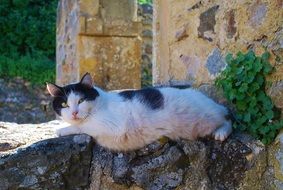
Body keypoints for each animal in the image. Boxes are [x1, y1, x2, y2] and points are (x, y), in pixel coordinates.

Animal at [46, 73, 233, 151]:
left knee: (227, 118)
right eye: (64, 104)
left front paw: (61, 130)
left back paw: (221, 133)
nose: (74, 113)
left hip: (206, 118)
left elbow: (84, 126)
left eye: (81, 101)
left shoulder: (113, 126)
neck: (100, 104)